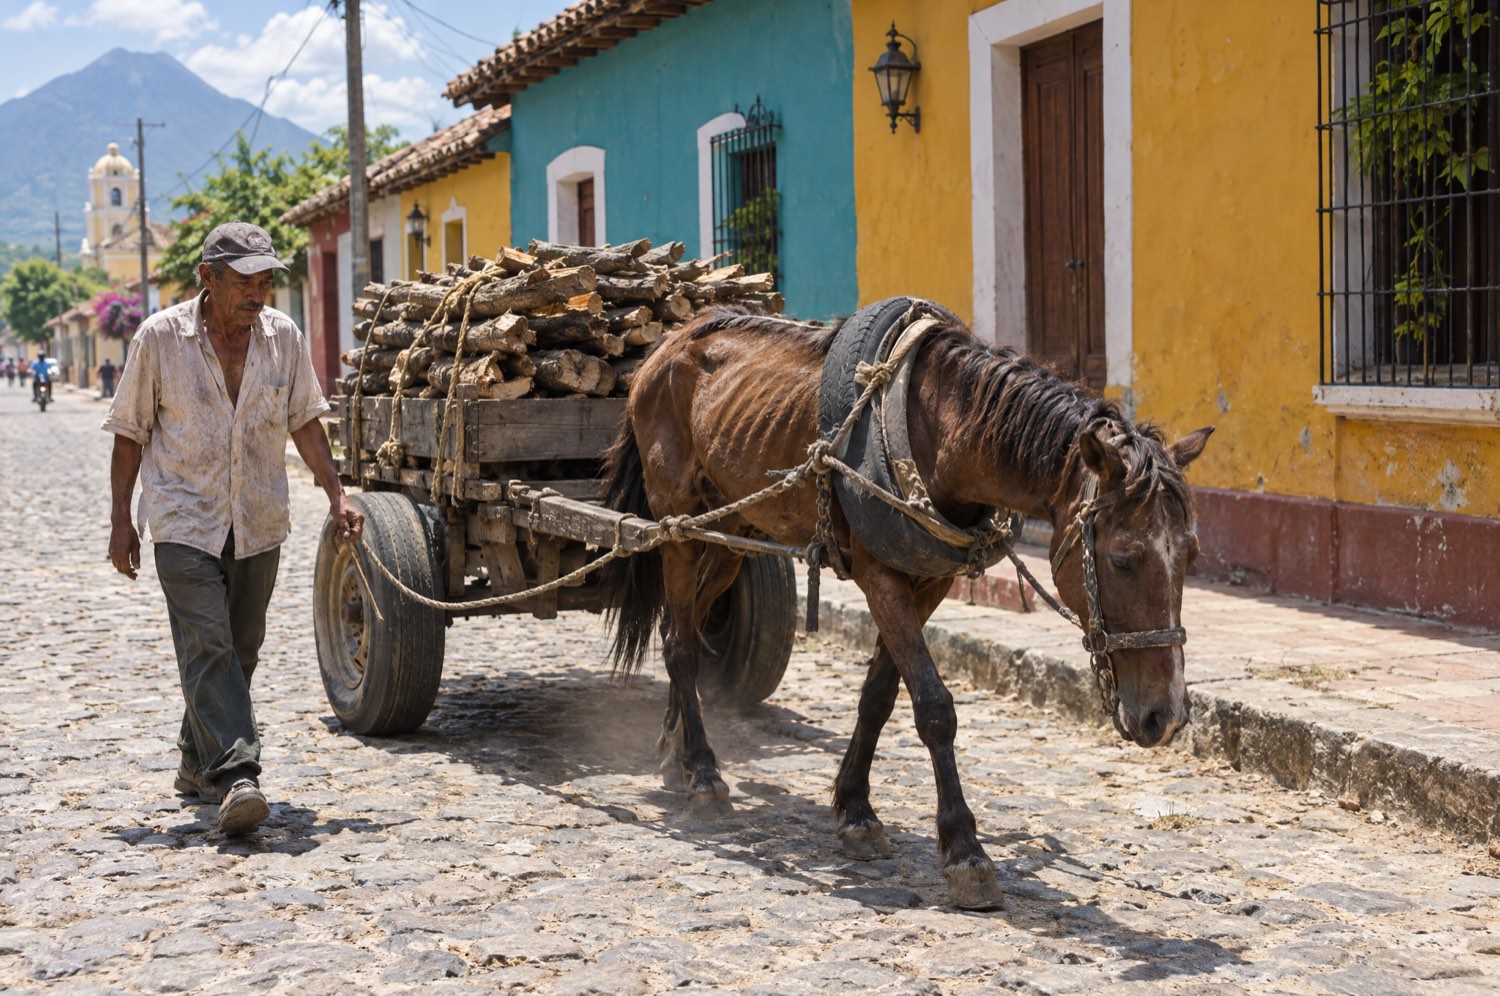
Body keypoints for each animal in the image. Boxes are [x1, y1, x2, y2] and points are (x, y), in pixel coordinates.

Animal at [600, 299, 1213, 909]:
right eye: (1124, 559)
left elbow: (878, 697)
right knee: (680, 646)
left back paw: (673, 751)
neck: (943, 428)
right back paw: (703, 775)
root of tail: (667, 345)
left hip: (729, 529)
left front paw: (855, 812)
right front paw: (965, 851)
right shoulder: (882, 579)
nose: (1165, 717)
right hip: (676, 525)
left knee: (685, 628)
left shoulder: (929, 582)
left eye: (1191, 556)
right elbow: (934, 708)